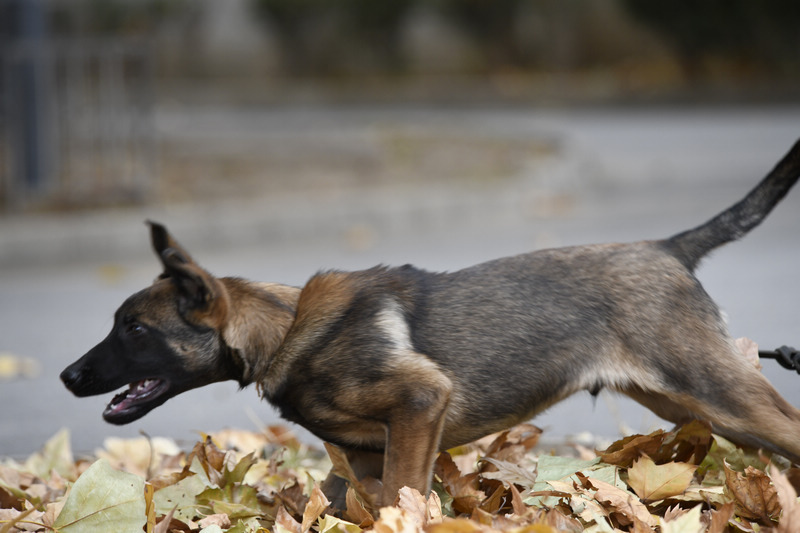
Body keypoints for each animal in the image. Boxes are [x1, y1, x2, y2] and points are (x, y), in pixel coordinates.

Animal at [61, 136, 800, 502]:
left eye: (133, 329)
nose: (68, 376)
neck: (288, 328)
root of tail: (669, 247)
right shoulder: (360, 456)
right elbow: (349, 503)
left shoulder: (420, 405)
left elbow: (405, 497)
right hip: (691, 404)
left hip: (718, 391)